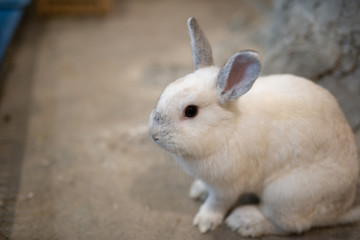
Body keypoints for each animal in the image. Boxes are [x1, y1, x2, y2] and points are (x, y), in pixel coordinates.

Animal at [148, 17, 358, 237]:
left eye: (190, 111)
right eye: (165, 90)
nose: (153, 135)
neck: (227, 128)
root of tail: (343, 207)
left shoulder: (226, 187)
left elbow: (216, 204)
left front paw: (205, 221)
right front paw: (198, 190)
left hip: (284, 195)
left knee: (288, 225)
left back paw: (244, 220)